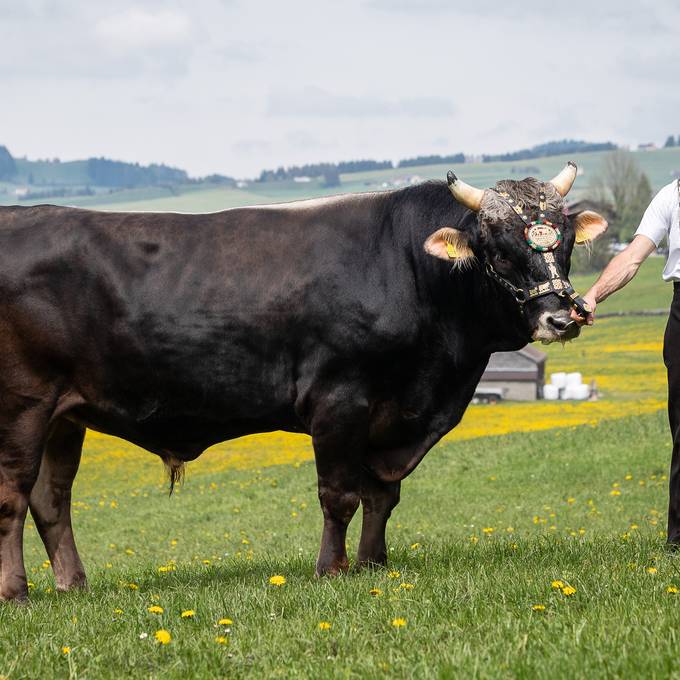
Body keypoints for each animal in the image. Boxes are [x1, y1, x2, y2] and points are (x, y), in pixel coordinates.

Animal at [0, 163, 604, 600]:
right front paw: (331, 570)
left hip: (65, 416)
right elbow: (339, 494)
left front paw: (373, 565)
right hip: (24, 405)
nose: (561, 318)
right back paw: (17, 592)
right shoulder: (340, 400)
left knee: (52, 500)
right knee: (14, 495)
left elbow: (382, 494)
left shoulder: (390, 416)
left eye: (565, 244)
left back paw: (74, 586)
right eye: (498, 250)